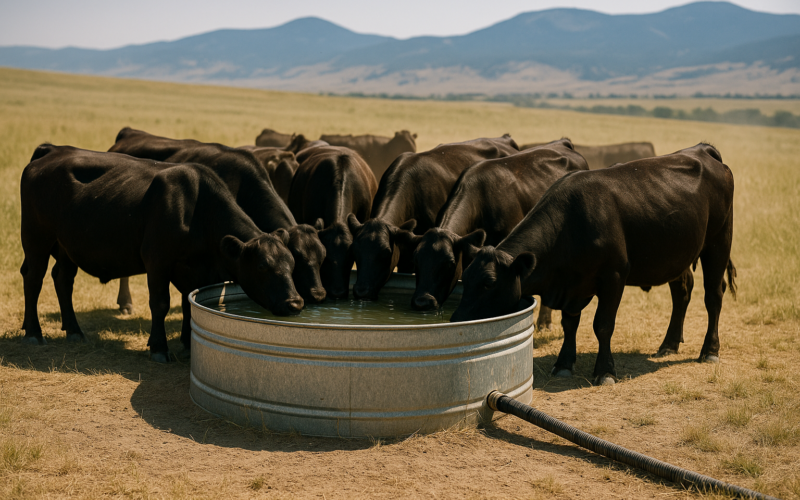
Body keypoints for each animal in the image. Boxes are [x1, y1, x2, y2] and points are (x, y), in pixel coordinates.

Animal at [19, 145, 304, 363]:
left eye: (292, 265)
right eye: (262, 266)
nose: (295, 303)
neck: (197, 209)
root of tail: (51, 151)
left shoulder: (196, 269)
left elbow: (189, 302)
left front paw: (188, 344)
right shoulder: (157, 260)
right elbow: (160, 303)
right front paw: (159, 347)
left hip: (66, 246)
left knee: (63, 279)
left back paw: (74, 330)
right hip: (36, 238)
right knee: (33, 277)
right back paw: (33, 333)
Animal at [451, 143, 736, 386]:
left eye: (489, 283)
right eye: (466, 276)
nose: (456, 320)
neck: (570, 224)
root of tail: (702, 150)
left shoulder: (614, 277)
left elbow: (603, 325)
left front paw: (605, 371)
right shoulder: (572, 285)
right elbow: (569, 323)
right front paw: (564, 363)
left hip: (718, 242)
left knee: (713, 296)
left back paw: (709, 350)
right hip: (676, 255)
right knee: (682, 292)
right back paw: (669, 344)